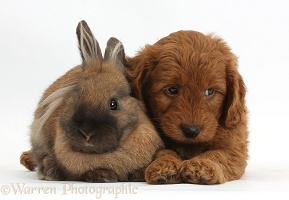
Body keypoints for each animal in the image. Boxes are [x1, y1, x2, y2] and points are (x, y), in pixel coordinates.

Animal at [126, 30, 248, 184]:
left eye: (210, 91)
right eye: (172, 89)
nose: (191, 131)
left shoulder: (235, 147)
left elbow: (218, 154)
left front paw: (201, 166)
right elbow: (162, 151)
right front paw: (164, 165)